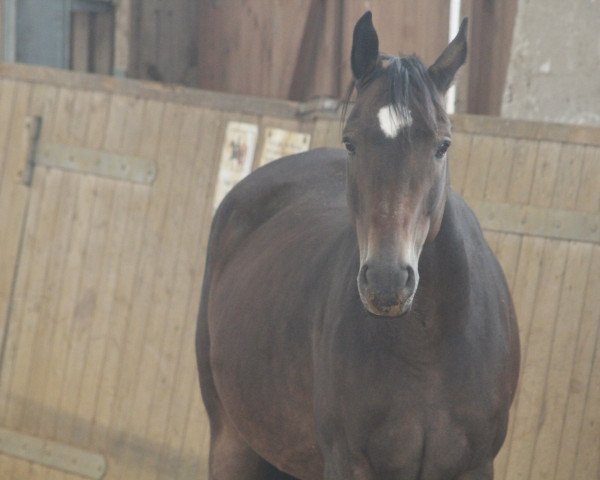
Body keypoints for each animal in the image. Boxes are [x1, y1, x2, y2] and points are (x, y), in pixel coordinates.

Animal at [197, 12, 520, 480]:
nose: (387, 281)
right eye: (350, 141)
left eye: (442, 145)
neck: (428, 345)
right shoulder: (348, 463)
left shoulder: (476, 466)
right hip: (231, 440)